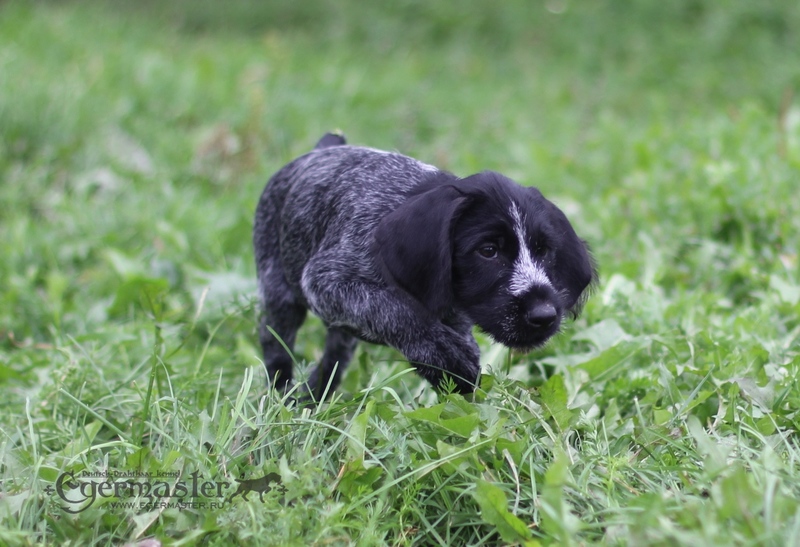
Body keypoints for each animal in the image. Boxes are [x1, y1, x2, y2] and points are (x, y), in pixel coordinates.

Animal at [253, 133, 596, 398]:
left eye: (543, 251)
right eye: (488, 251)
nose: (544, 315)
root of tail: (322, 148)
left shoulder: (455, 317)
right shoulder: (327, 281)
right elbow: (397, 310)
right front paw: (447, 360)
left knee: (336, 353)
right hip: (280, 291)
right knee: (275, 343)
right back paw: (282, 397)